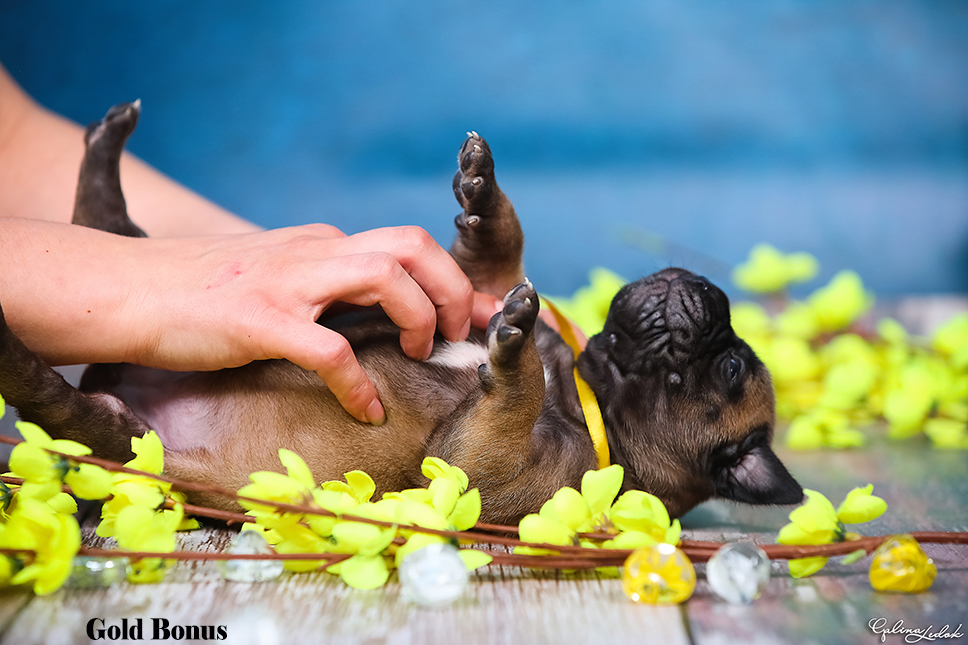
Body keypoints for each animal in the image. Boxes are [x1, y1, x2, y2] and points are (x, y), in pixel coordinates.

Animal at [0, 100, 800, 524]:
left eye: (730, 365)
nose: (707, 285)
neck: (583, 384)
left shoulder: (485, 480)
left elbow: (499, 412)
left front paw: (511, 358)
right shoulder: (475, 292)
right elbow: (495, 258)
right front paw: (485, 199)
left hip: (130, 451)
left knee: (71, 409)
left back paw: (20, 361)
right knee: (107, 233)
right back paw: (107, 145)